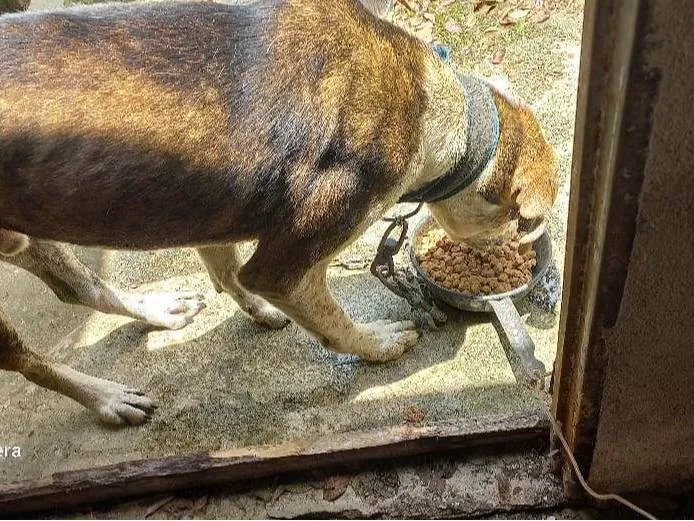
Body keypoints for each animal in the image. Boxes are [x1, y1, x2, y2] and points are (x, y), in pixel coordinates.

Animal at [0, 0, 556, 424]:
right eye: (521, 221)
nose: (516, 251)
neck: (441, 113)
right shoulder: (284, 267)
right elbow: (329, 320)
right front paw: (377, 345)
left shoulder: (211, 212)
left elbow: (226, 272)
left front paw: (260, 313)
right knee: (25, 357)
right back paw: (107, 398)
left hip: (30, 240)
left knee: (78, 287)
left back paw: (160, 313)